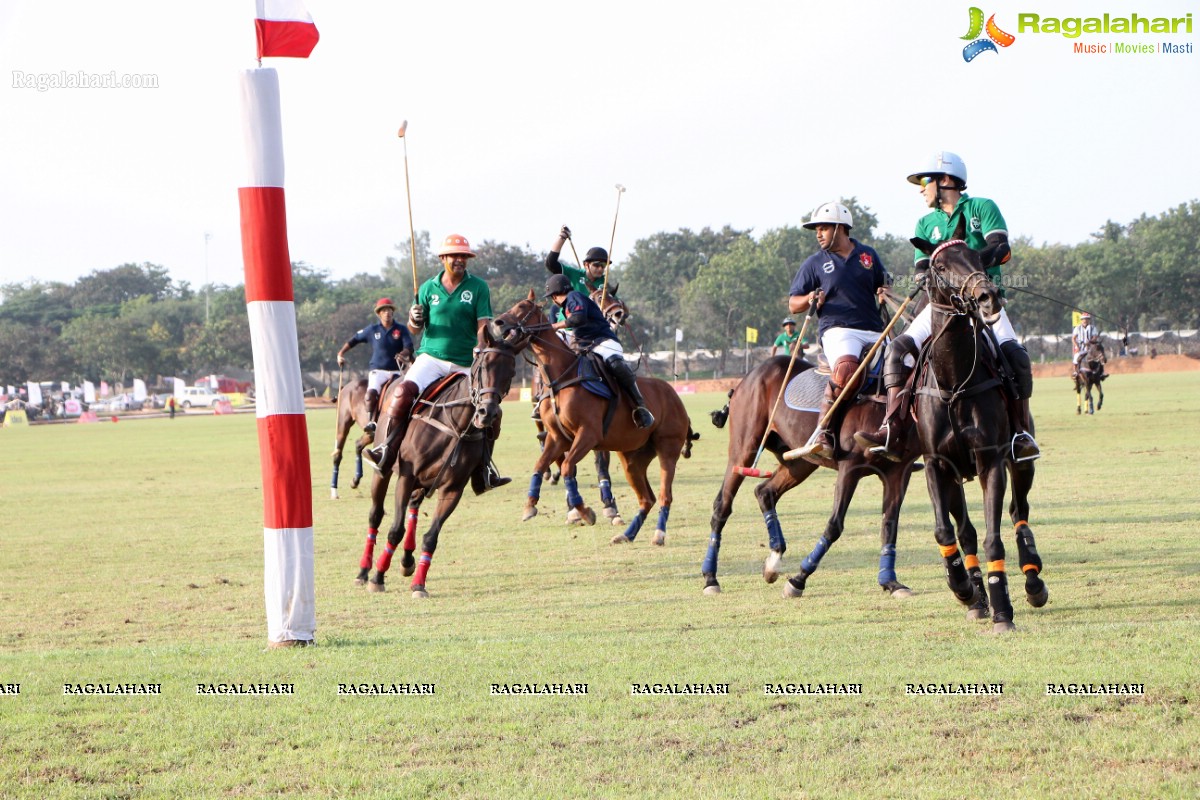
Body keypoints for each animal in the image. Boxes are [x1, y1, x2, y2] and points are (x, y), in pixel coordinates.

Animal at [357, 328, 523, 597]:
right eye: (482, 366)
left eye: (511, 371)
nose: (487, 413)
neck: (456, 425)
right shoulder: (407, 476)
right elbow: (395, 530)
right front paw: (378, 577)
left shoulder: (452, 489)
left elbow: (431, 537)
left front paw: (419, 584)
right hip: (384, 470)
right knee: (376, 515)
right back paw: (363, 571)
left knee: (413, 507)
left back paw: (407, 561)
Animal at [492, 291, 700, 546]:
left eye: (522, 307)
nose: (498, 322)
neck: (562, 377)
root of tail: (676, 397)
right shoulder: (557, 437)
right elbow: (541, 465)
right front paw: (530, 507)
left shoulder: (589, 434)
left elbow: (568, 467)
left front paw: (585, 512)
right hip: (632, 458)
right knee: (646, 498)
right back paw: (626, 535)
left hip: (667, 450)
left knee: (664, 496)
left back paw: (658, 535)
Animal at [912, 224, 1046, 633]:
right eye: (939, 265)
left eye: (976, 257)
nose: (987, 298)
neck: (955, 382)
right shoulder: (938, 465)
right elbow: (947, 531)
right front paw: (964, 588)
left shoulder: (991, 461)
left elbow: (994, 539)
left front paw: (1002, 610)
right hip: (956, 476)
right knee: (965, 531)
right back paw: (975, 595)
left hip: (1021, 460)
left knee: (1019, 512)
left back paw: (1033, 581)